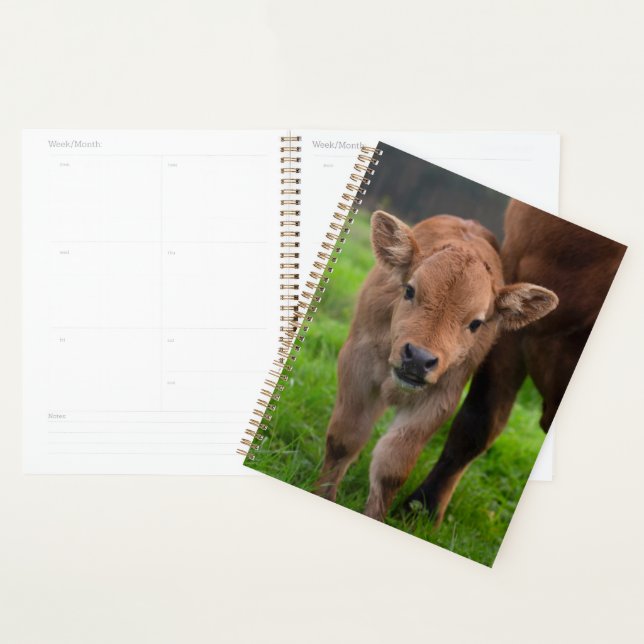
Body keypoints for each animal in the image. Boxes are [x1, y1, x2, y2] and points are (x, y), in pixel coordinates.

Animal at [314, 209, 559, 522]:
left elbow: (392, 466)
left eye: (476, 323)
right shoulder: (357, 366)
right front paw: (321, 495)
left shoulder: (439, 398)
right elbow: (344, 439)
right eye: (409, 290)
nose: (418, 358)